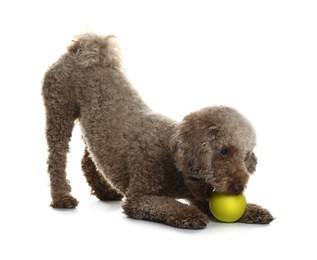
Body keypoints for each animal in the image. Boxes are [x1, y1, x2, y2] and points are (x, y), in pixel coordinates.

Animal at [42, 33, 272, 230]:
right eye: (224, 151)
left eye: (246, 156)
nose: (238, 188)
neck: (172, 158)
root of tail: (79, 50)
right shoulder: (139, 197)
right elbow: (168, 205)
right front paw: (188, 215)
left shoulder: (199, 195)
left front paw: (254, 210)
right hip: (59, 109)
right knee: (56, 159)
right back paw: (62, 198)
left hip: (93, 131)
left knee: (89, 159)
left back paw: (105, 191)